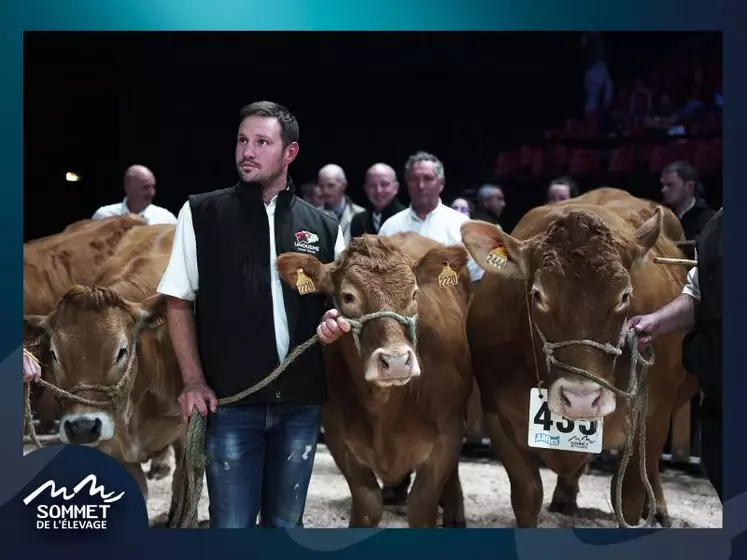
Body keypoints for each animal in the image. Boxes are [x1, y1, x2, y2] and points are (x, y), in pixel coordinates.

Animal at [274, 231, 474, 524]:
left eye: (414, 293)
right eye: (348, 297)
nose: (396, 362)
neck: (384, 409)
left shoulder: (447, 437)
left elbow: (421, 506)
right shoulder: (339, 439)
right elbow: (368, 504)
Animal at [462, 203, 688, 528]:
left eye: (624, 295)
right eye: (538, 294)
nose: (581, 399)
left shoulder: (653, 414)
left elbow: (629, 497)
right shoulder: (498, 416)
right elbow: (527, 494)